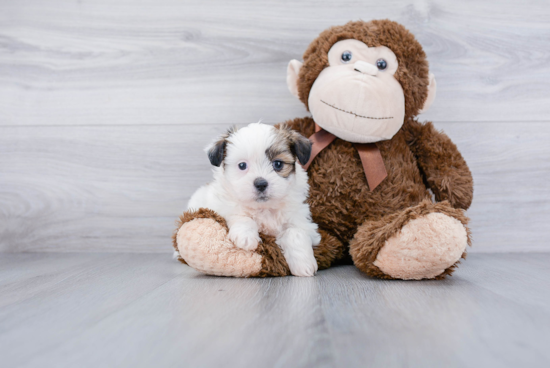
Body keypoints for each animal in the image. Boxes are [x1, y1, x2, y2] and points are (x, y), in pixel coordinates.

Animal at [188, 123, 322, 276]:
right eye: (242, 165)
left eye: (278, 164)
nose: (261, 184)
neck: (264, 208)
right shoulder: (222, 207)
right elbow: (241, 215)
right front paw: (246, 237)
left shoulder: (303, 222)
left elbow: (295, 232)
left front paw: (304, 264)